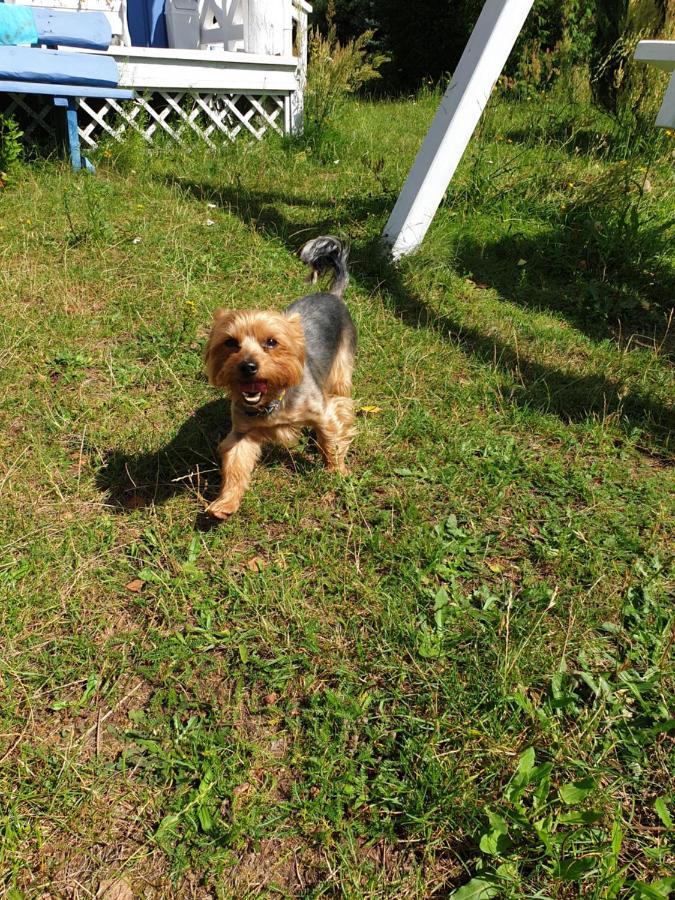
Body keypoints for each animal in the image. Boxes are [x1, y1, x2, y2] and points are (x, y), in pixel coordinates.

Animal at [203, 237, 356, 520]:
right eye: (230, 343)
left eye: (272, 342)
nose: (248, 366)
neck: (274, 400)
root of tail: (332, 294)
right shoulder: (242, 432)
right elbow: (236, 464)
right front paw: (225, 503)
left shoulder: (322, 414)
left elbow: (331, 440)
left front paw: (337, 472)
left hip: (342, 366)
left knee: (342, 396)